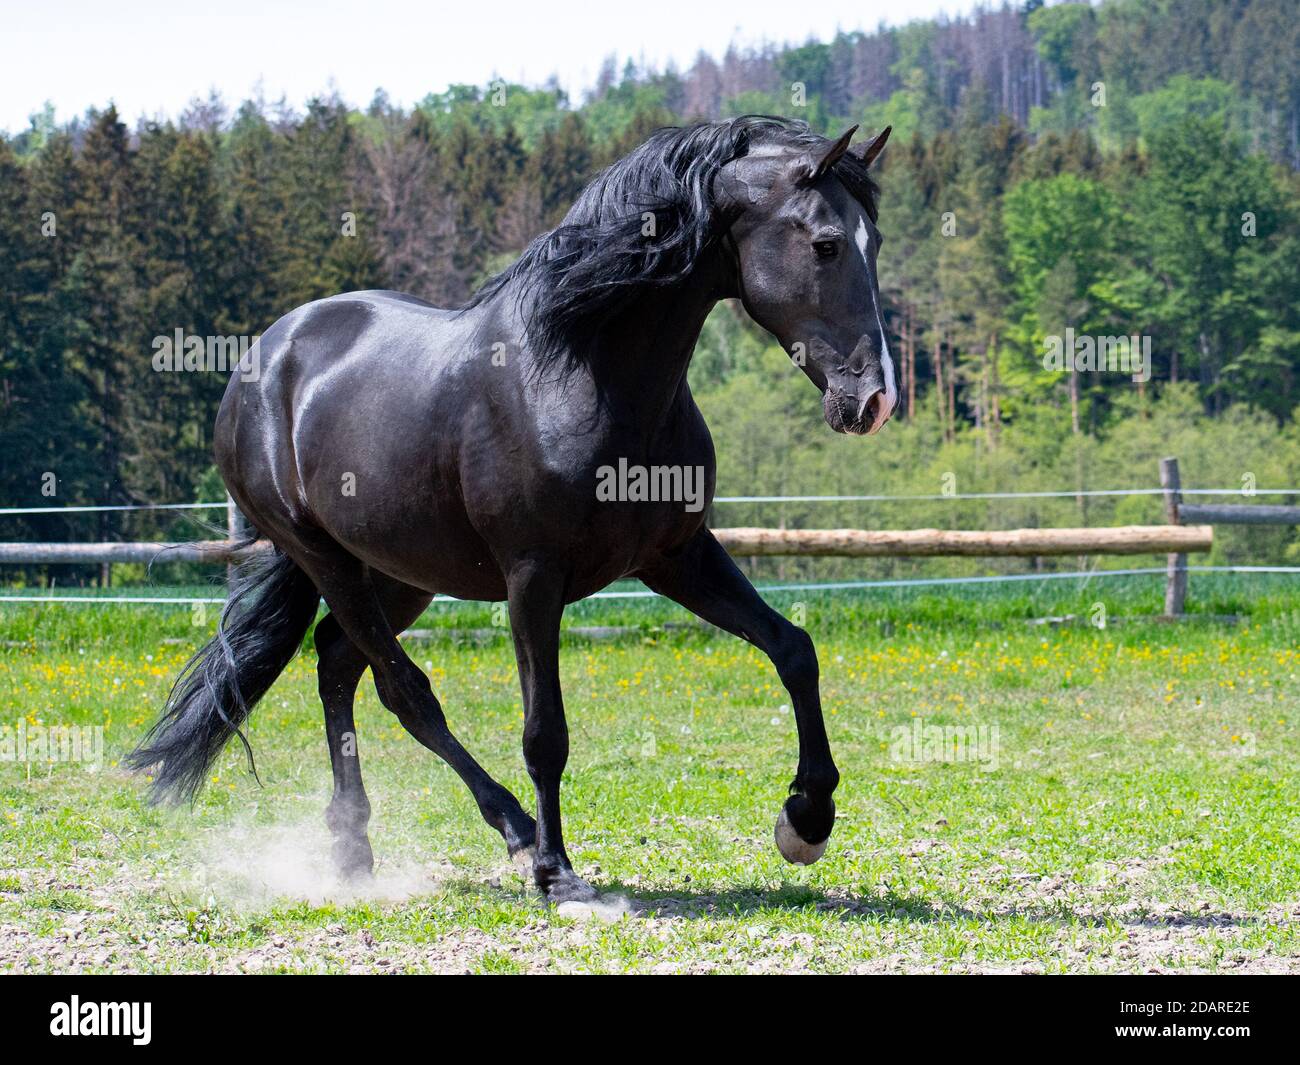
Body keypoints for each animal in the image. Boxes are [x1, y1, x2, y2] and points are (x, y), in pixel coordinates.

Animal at [129, 116, 894, 904]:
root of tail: (268, 355)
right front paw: (556, 869)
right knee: (403, 690)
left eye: (875, 241)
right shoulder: (534, 577)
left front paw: (807, 818)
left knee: (338, 663)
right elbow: (544, 730)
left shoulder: (677, 555)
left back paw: (352, 846)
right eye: (826, 244)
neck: (584, 373)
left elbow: (793, 649)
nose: (872, 399)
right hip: (325, 557)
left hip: (399, 571)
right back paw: (513, 829)